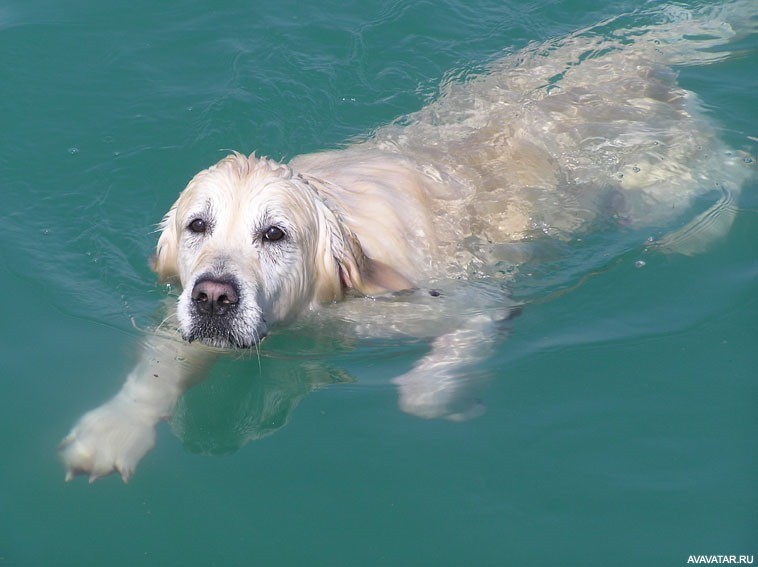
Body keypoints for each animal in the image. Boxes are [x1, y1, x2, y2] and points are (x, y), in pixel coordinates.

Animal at [59, 3, 756, 484]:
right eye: (197, 227)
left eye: (274, 233)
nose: (213, 296)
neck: (330, 296)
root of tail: (625, 56)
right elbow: (162, 359)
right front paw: (111, 431)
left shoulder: (455, 302)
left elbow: (424, 386)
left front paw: (448, 403)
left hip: (653, 180)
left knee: (724, 165)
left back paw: (710, 221)